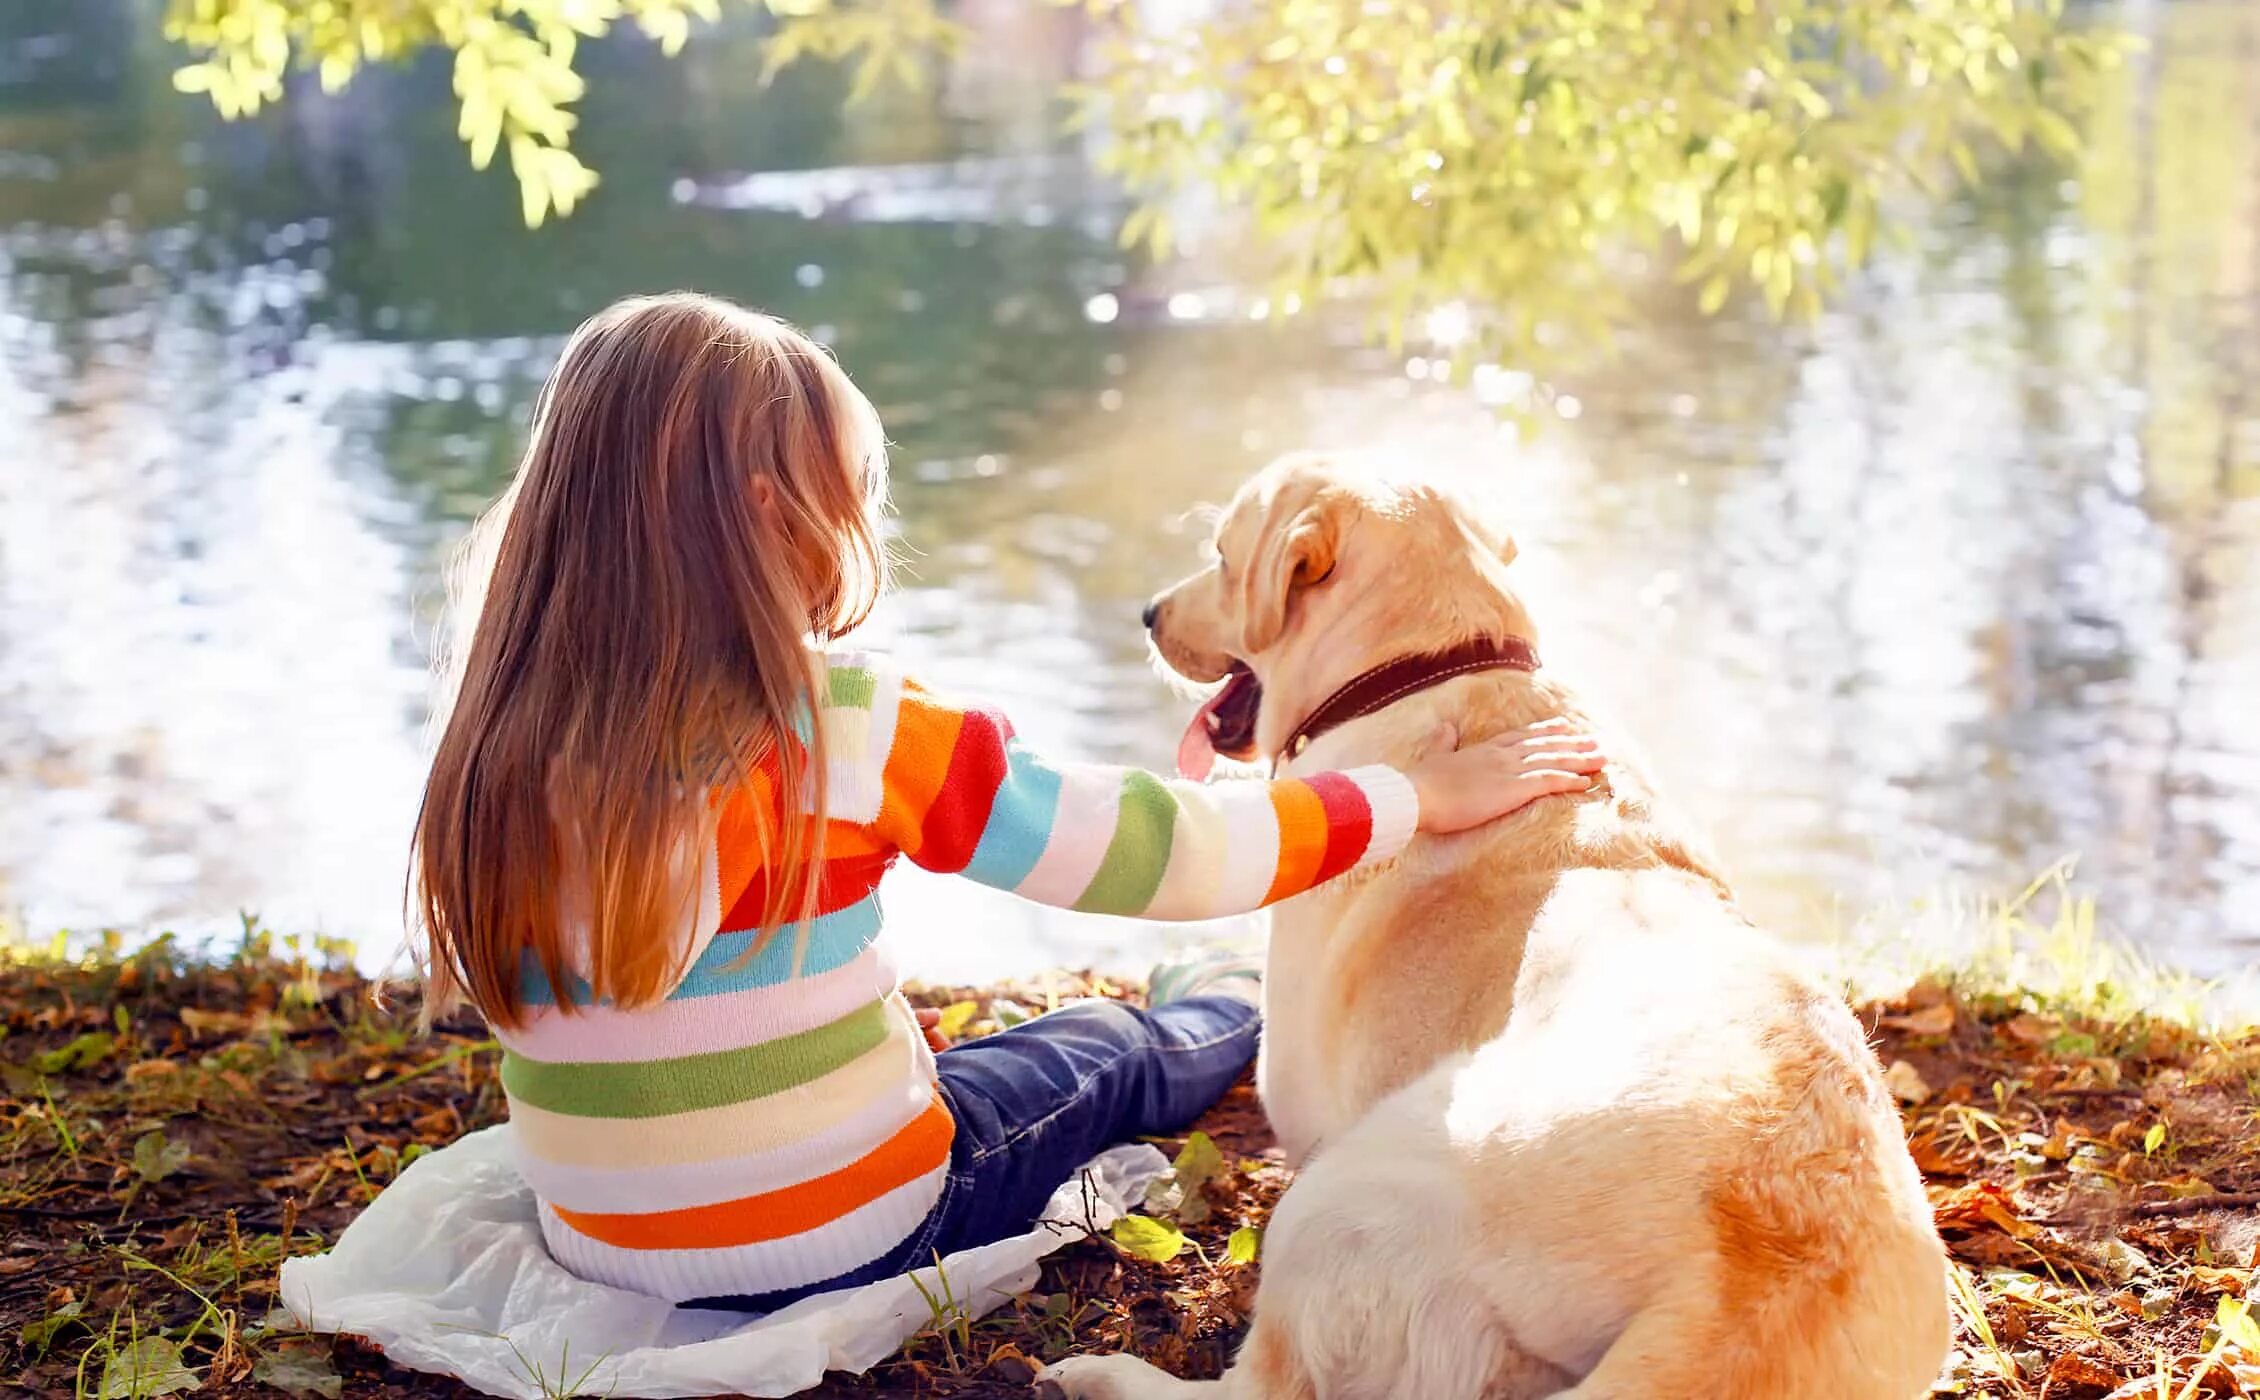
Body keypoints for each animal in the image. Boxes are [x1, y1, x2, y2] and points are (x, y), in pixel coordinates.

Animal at [1035, 454, 1952, 1393]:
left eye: (1222, 554)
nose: (1149, 614)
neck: (1438, 665)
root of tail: (1749, 1285)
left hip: (1349, 1188)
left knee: (1260, 1384)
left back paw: (1102, 1376)